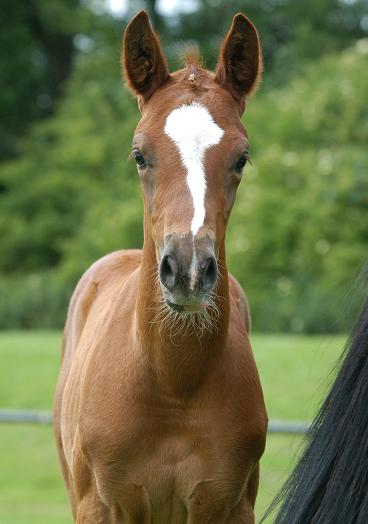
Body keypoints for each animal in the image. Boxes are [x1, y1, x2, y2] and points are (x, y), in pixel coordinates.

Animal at [54, 10, 268, 520]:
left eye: (242, 158)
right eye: (139, 155)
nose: (187, 270)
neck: (174, 385)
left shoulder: (230, 506)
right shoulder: (101, 506)